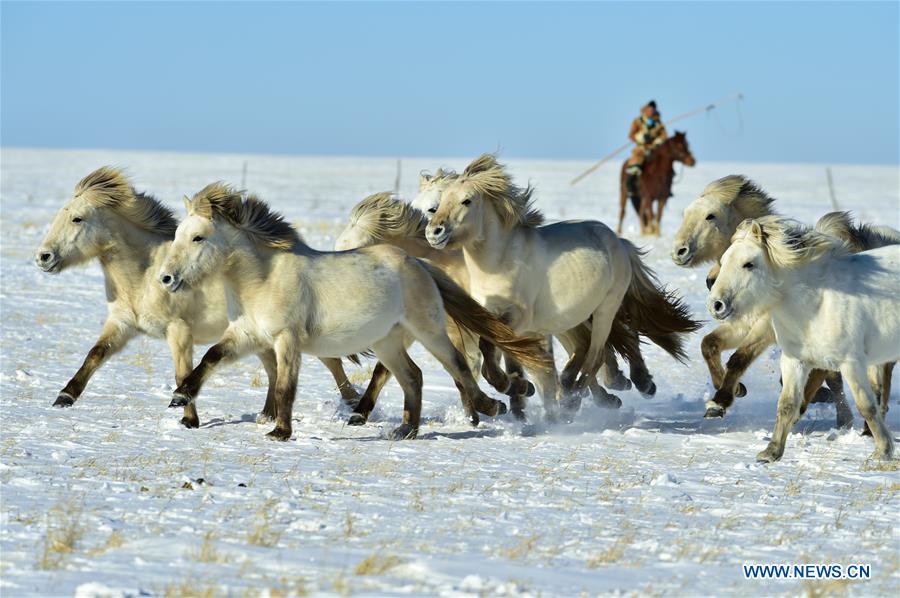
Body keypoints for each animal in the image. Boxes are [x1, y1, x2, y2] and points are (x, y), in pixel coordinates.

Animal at [35, 166, 358, 428]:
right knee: (274, 369)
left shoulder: (179, 331)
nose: (43, 257)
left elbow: (182, 374)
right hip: (259, 338)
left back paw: (353, 407)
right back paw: (267, 415)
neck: (145, 275)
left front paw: (188, 418)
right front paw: (64, 396)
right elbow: (95, 354)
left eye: (77, 219)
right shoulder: (122, 325)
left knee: (333, 364)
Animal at [159, 183, 552, 440]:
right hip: (386, 341)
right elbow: (210, 357)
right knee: (412, 376)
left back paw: (491, 407)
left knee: (457, 366)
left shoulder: (287, 340)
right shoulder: (247, 335)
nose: (166, 278)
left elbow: (285, 386)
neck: (262, 279)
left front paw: (280, 432)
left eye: (198, 237)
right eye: (178, 235)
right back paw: (405, 429)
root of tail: (418, 263)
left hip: (428, 330)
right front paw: (181, 397)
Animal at [426, 152, 700, 420]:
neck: (499, 260)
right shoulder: (490, 314)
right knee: (586, 348)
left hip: (605, 309)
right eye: (437, 204)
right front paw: (516, 388)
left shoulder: (519, 317)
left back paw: (575, 400)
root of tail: (618, 242)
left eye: (467, 201)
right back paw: (576, 387)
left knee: (595, 354)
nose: (434, 232)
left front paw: (512, 388)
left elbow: (493, 347)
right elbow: (499, 351)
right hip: (573, 315)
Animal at [712, 217, 896, 464]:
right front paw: (771, 452)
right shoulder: (794, 361)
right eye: (723, 261)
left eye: (748, 264)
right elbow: (787, 404)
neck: (817, 303)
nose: (716, 304)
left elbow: (866, 405)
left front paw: (883, 451)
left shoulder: (850, 362)